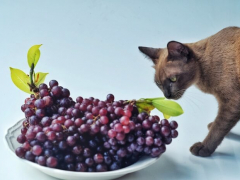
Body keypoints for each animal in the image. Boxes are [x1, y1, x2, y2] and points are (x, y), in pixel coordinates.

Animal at [138, 26, 240, 157]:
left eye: (173, 79)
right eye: (159, 84)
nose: (167, 95)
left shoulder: (232, 101)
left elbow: (218, 127)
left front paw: (203, 148)